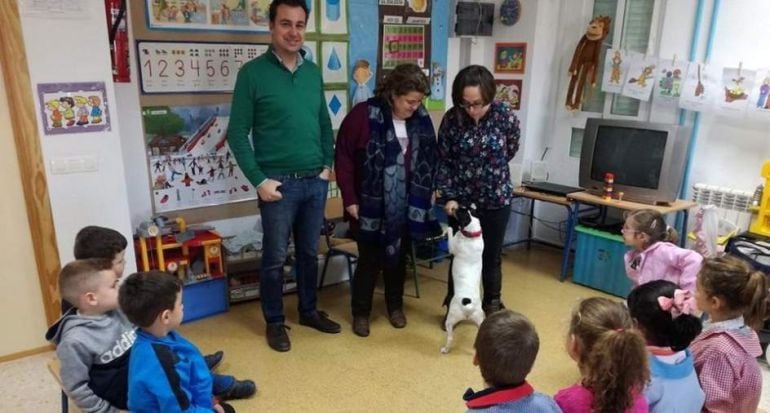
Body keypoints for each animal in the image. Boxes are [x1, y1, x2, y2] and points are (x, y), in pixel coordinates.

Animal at [440, 208, 484, 352]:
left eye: (459, 212)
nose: (453, 208)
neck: (472, 235)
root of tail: (468, 307)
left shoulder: (452, 247)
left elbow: (450, 230)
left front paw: (445, 228)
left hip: (450, 319)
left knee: (450, 337)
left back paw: (445, 349)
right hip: (480, 319)